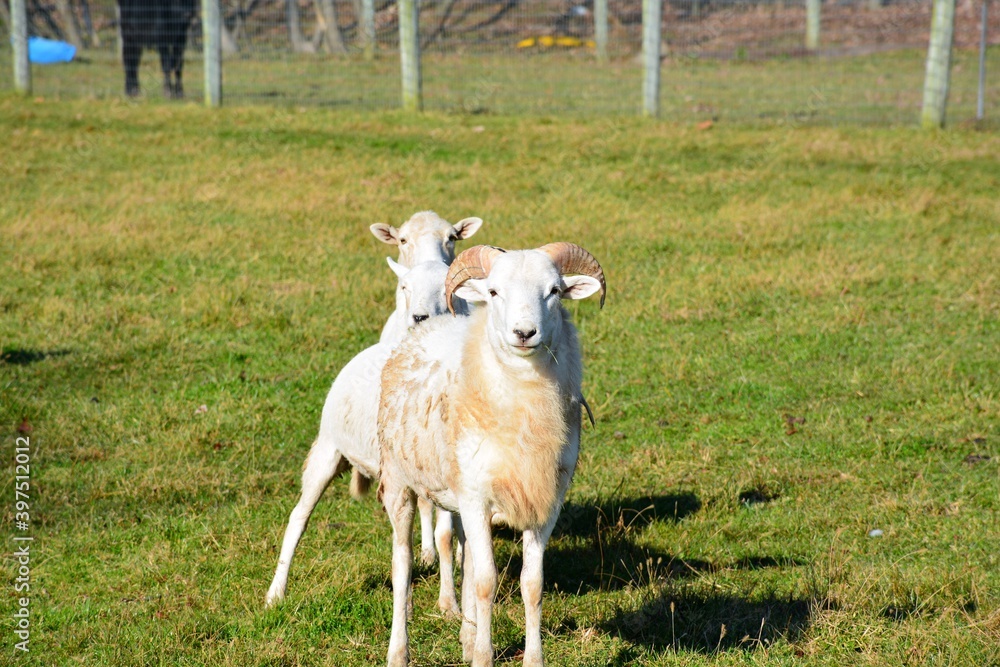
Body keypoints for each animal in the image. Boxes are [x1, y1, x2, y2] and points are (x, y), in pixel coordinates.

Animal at [265, 259, 468, 612]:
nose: (419, 316)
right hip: (328, 449)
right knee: (298, 518)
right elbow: (443, 536)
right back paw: (276, 593)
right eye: (405, 286)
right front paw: (448, 605)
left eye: (446, 287)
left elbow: (452, 535)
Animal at [377, 243, 606, 667]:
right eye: (495, 292)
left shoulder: (545, 501)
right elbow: (486, 582)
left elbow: (531, 584)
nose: (524, 333)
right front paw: (483, 656)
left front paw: (532, 658)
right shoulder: (477, 498)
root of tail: (427, 326)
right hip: (400, 484)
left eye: (554, 290)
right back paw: (398, 651)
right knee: (402, 565)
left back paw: (466, 635)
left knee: (464, 557)